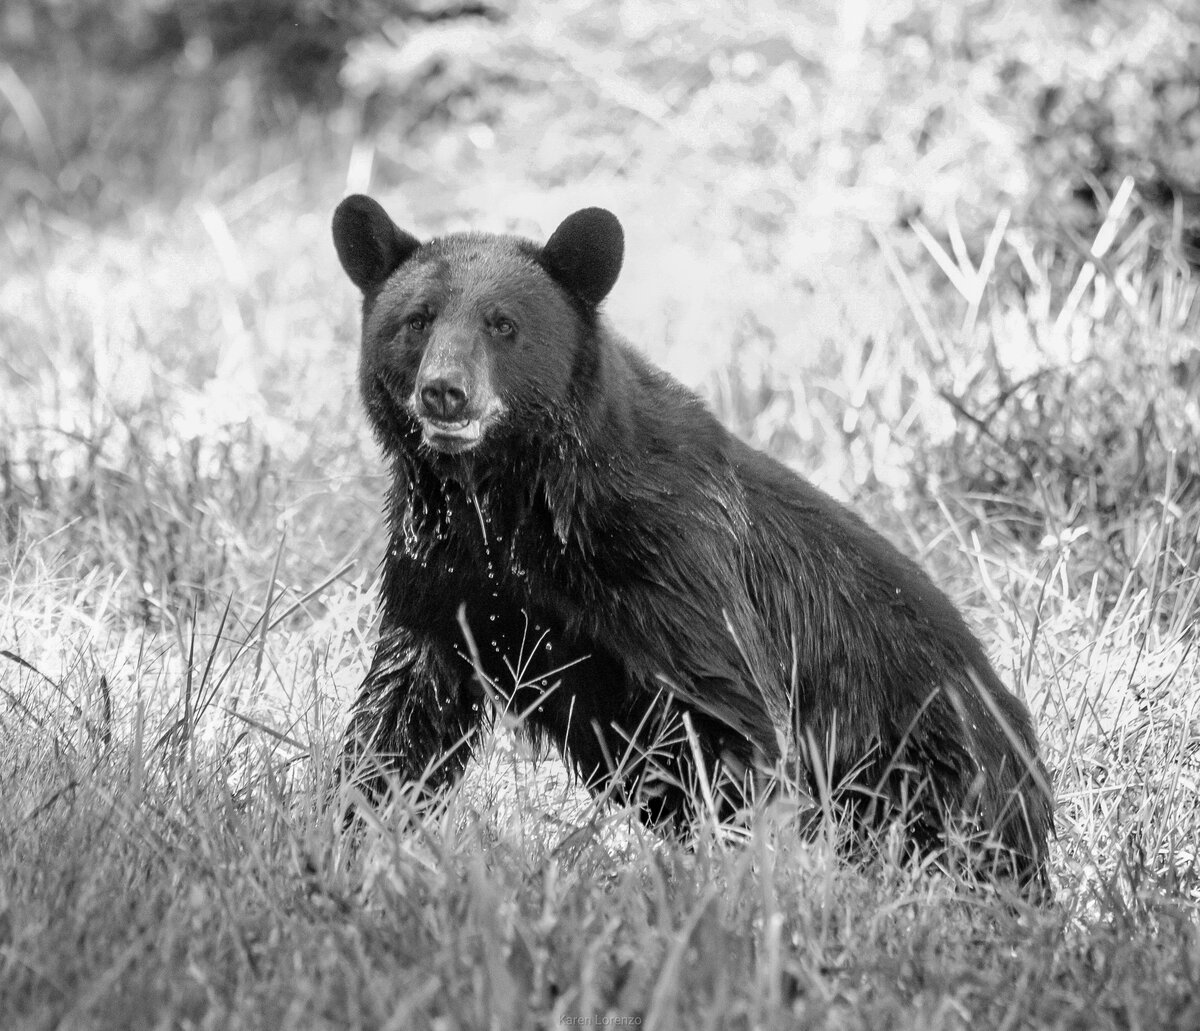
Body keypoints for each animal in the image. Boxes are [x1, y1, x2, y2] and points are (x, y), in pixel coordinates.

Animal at [331, 194, 1054, 888]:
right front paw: (347, 832)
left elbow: (730, 721)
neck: (506, 498)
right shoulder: (437, 572)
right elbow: (401, 717)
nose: (444, 392)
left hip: (932, 760)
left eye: (503, 324)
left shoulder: (669, 563)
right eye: (416, 320)